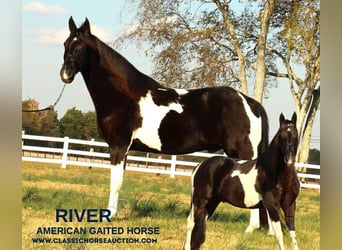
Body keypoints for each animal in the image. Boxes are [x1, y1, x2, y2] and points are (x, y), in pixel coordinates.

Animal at [61, 17, 270, 229]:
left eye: (82, 47)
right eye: (65, 44)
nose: (65, 75)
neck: (124, 97)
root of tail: (250, 102)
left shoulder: (118, 146)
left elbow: (116, 182)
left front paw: (109, 215)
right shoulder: (124, 149)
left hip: (244, 153)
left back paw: (251, 228)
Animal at [184, 113, 300, 250]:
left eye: (296, 134)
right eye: (281, 136)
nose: (289, 159)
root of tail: (199, 166)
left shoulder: (289, 205)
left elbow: (293, 235)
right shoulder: (272, 206)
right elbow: (279, 235)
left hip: (212, 202)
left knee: (201, 225)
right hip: (199, 200)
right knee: (191, 223)